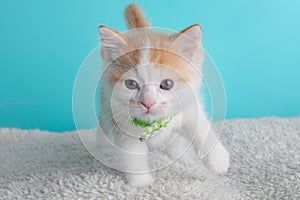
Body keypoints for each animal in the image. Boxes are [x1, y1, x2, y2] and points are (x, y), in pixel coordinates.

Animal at [97, 3, 229, 187]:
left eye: (167, 84)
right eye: (131, 84)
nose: (148, 102)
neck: (154, 123)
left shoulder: (189, 105)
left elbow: (200, 126)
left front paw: (217, 158)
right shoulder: (121, 121)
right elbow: (132, 155)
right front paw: (141, 182)